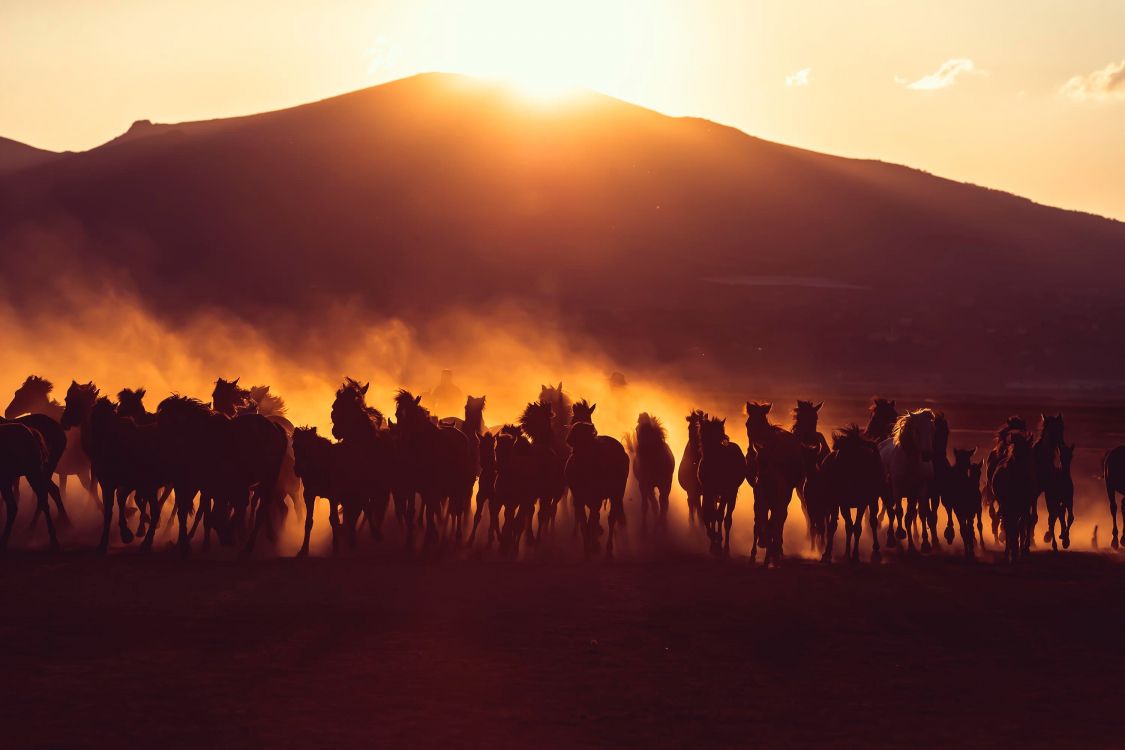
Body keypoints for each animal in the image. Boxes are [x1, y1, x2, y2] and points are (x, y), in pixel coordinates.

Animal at [567, 420, 630, 559]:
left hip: (617, 494)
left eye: (588, 437)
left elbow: (591, 522)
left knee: (611, 518)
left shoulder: (596, 500)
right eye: (575, 433)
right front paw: (587, 549)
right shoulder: (579, 500)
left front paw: (593, 545)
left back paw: (608, 547)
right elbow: (584, 523)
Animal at [742, 402, 805, 566]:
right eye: (747, 424)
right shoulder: (760, 498)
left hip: (784, 497)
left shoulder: (778, 498)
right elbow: (760, 522)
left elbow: (774, 522)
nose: (752, 453)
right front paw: (758, 552)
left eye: (762, 422)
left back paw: (775, 551)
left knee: (780, 520)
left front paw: (771, 553)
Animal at [805, 427, 882, 562]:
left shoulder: (862, 503)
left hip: (873, 501)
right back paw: (846, 553)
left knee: (872, 521)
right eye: (840, 455)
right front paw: (827, 553)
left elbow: (857, 527)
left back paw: (875, 550)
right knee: (848, 526)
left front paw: (855, 555)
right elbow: (834, 526)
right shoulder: (837, 503)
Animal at [877, 407, 940, 555]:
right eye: (916, 430)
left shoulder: (920, 489)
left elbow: (921, 514)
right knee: (891, 512)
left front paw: (925, 543)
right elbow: (898, 511)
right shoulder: (897, 488)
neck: (911, 464)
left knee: (907, 517)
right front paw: (900, 533)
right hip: (887, 493)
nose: (927, 455)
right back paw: (891, 539)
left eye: (932, 429)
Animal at [994, 427, 1035, 562]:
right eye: (1016, 453)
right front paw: (1013, 551)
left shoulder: (1022, 506)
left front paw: (1017, 550)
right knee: (1012, 524)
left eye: (1028, 452)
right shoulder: (1011, 506)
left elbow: (1019, 525)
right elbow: (1012, 526)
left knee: (1017, 524)